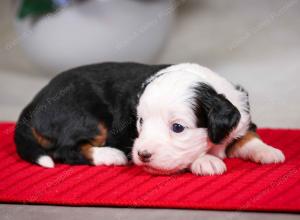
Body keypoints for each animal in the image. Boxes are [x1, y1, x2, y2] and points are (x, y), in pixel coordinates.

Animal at [14, 62, 286, 175]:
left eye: (178, 128)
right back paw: (110, 155)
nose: (142, 155)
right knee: (66, 149)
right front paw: (206, 161)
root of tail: (33, 105)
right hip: (82, 116)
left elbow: (248, 135)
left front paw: (268, 151)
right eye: (141, 122)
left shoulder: (240, 115)